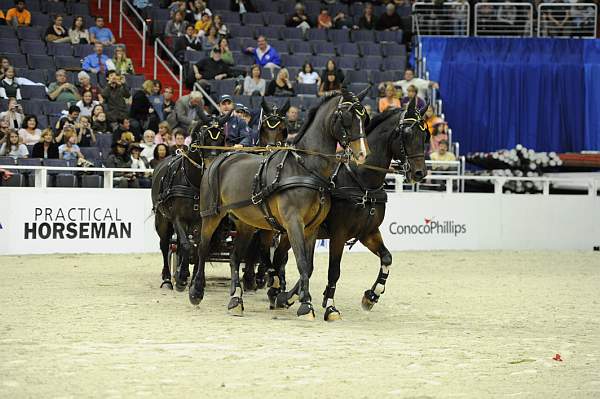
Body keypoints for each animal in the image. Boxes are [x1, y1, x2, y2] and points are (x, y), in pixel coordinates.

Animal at [151, 111, 231, 290]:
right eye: (203, 137)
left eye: (222, 137)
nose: (211, 167)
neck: (194, 183)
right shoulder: (178, 218)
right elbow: (186, 245)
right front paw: (181, 278)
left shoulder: (201, 221)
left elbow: (199, 247)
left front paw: (194, 280)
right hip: (162, 219)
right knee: (165, 244)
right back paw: (168, 279)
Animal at [191, 87, 370, 318]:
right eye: (347, 118)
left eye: (364, 118)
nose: (363, 153)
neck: (305, 169)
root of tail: (220, 158)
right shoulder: (293, 223)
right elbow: (300, 261)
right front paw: (305, 304)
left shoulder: (311, 227)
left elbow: (307, 265)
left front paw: (289, 296)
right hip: (210, 215)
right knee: (203, 248)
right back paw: (196, 291)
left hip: (246, 223)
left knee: (234, 257)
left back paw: (236, 299)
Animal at [270, 98, 428, 320]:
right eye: (406, 134)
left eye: (425, 135)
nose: (420, 173)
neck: (362, 182)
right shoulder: (339, 234)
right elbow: (333, 270)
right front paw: (330, 305)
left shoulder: (368, 232)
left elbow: (387, 258)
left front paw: (372, 295)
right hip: (291, 228)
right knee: (281, 258)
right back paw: (279, 292)